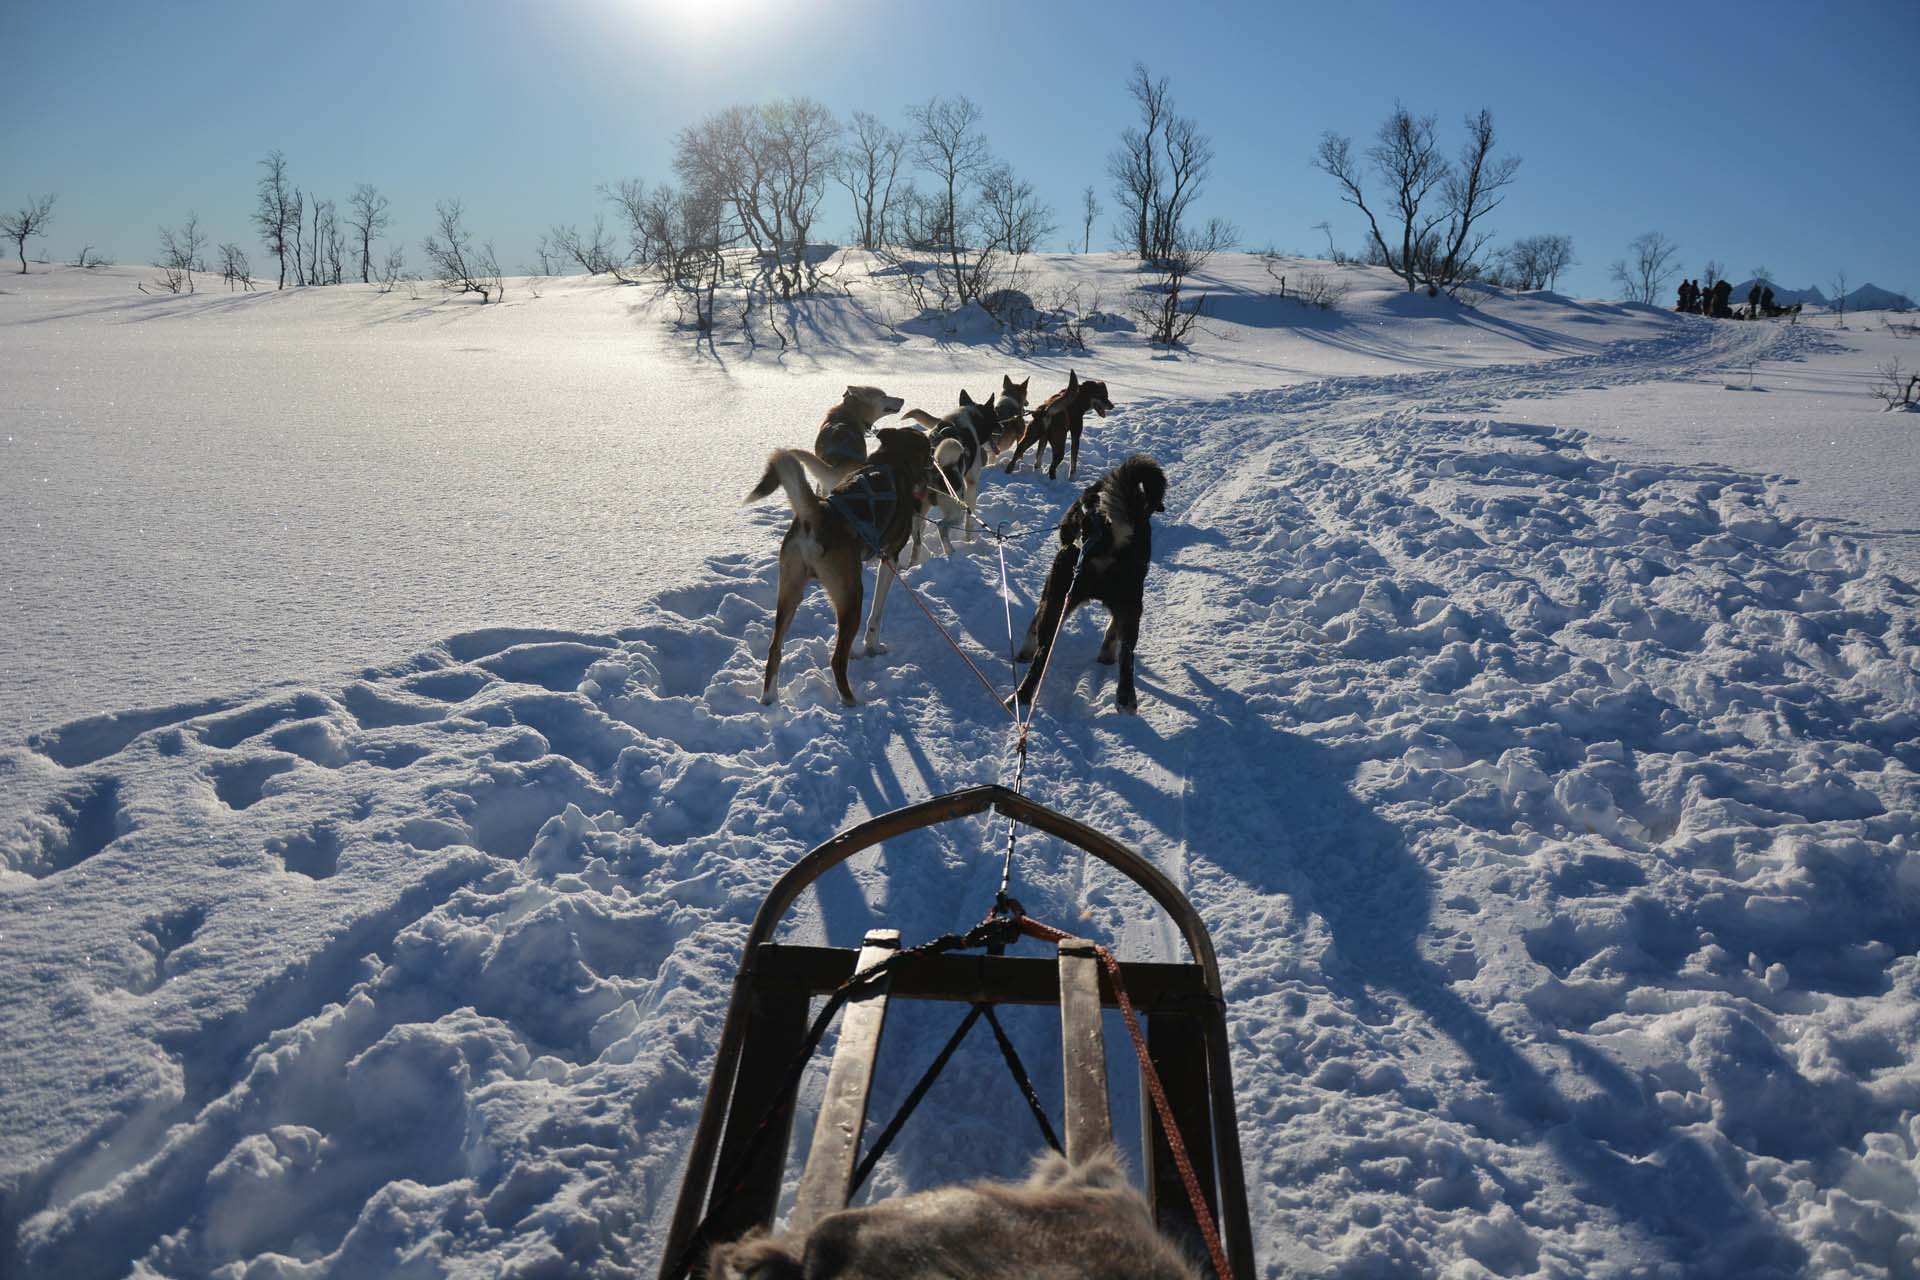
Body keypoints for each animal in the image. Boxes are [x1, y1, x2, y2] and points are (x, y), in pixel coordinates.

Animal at [744, 429, 933, 710]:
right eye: (929, 452)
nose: (934, 473)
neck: (891, 460)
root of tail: (817, 514)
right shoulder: (889, 559)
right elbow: (876, 615)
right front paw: (872, 647)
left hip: (791, 592)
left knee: (775, 649)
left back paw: (769, 698)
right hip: (852, 596)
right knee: (836, 660)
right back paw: (852, 702)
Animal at [1006, 454, 1167, 717]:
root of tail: (1106, 535)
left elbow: (1034, 624)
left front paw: (1024, 652)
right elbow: (1114, 631)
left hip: (1060, 596)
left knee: (1043, 652)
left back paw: (1022, 695)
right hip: (1122, 604)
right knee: (1127, 654)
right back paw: (1125, 697)